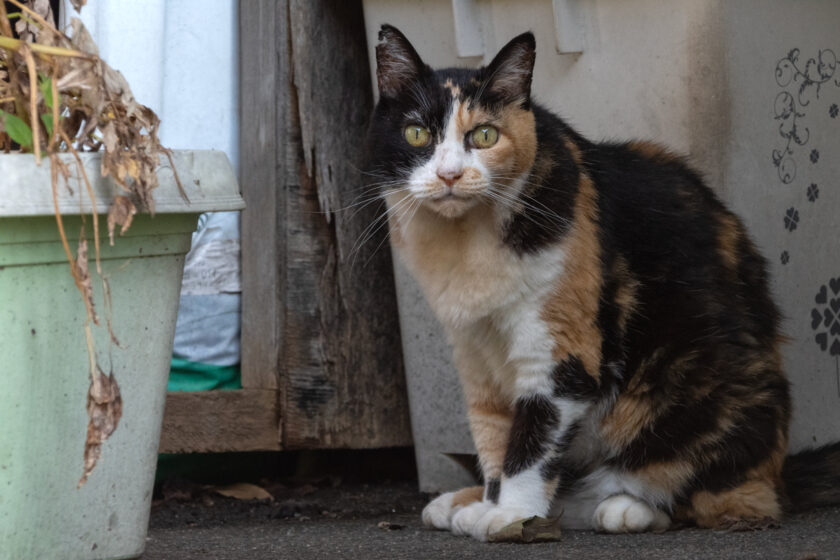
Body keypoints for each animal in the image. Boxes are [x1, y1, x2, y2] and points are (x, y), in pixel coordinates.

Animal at [364, 24, 840, 540]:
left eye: (485, 135)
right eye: (416, 133)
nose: (450, 174)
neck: (465, 246)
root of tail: (781, 471)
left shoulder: (559, 356)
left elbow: (530, 446)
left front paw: (511, 515)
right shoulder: (475, 356)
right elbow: (494, 437)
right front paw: (492, 504)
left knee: (722, 498)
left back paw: (622, 506)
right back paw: (462, 502)